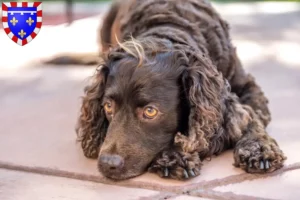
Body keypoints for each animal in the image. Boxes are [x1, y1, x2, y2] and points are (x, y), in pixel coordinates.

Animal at [75, 0, 286, 180]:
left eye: (150, 111)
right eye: (108, 107)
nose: (107, 164)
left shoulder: (248, 88)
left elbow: (252, 117)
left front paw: (259, 148)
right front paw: (174, 156)